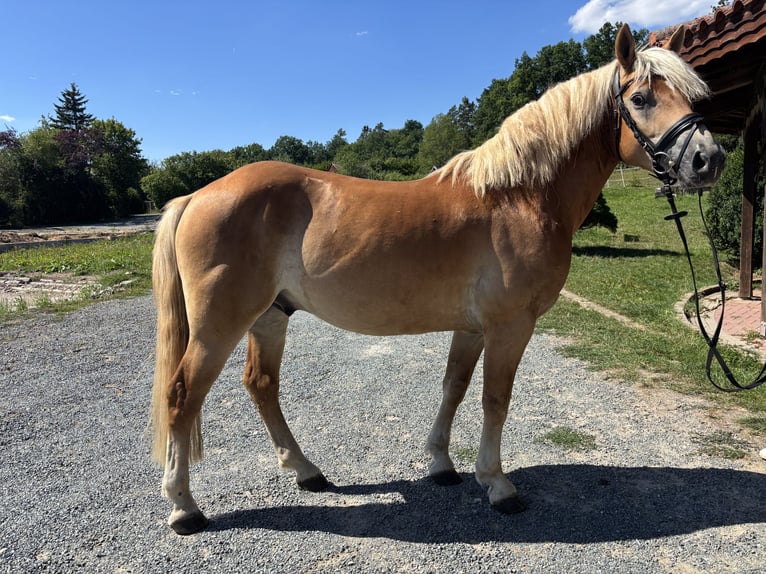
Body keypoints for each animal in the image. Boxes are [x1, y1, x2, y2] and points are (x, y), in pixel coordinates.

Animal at [150, 25, 724, 534]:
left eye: (692, 95)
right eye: (642, 98)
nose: (709, 159)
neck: (518, 196)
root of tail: (198, 195)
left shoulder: (470, 327)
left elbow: (454, 388)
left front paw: (441, 465)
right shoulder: (509, 326)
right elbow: (495, 398)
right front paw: (497, 485)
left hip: (270, 315)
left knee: (261, 386)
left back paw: (306, 472)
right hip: (219, 325)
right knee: (182, 396)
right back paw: (183, 508)